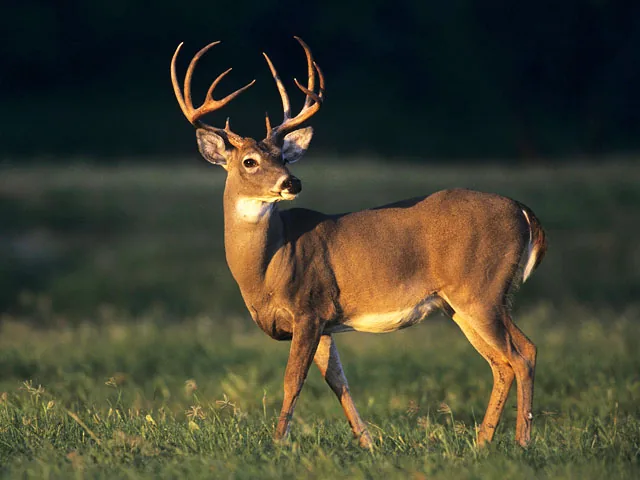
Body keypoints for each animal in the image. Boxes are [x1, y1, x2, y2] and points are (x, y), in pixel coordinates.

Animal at [170, 37, 547, 449]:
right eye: (250, 161)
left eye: (284, 156)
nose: (292, 182)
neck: (269, 265)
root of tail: (523, 211)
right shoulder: (324, 322)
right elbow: (339, 382)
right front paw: (367, 443)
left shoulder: (309, 308)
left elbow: (293, 381)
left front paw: (278, 442)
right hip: (461, 303)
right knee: (506, 360)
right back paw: (482, 442)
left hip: (481, 290)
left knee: (521, 354)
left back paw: (522, 440)